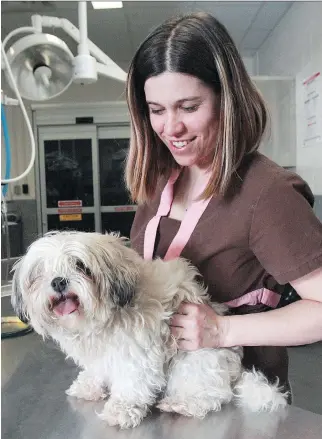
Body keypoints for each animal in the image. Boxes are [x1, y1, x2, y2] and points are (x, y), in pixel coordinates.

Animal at [11, 232, 288, 428]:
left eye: (80, 266)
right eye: (40, 272)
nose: (58, 281)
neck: (102, 320)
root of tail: (234, 371)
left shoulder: (137, 352)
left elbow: (132, 382)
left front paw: (121, 409)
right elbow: (98, 369)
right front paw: (90, 384)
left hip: (195, 360)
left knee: (216, 394)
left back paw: (183, 403)